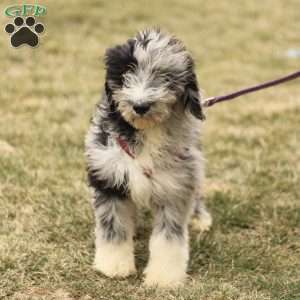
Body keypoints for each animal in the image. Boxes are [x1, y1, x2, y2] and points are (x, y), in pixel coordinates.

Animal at [84, 28, 211, 288]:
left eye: (165, 76)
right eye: (125, 73)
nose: (140, 105)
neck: (148, 133)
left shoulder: (176, 186)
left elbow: (169, 238)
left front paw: (164, 277)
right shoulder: (108, 177)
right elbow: (113, 227)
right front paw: (113, 265)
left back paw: (200, 218)